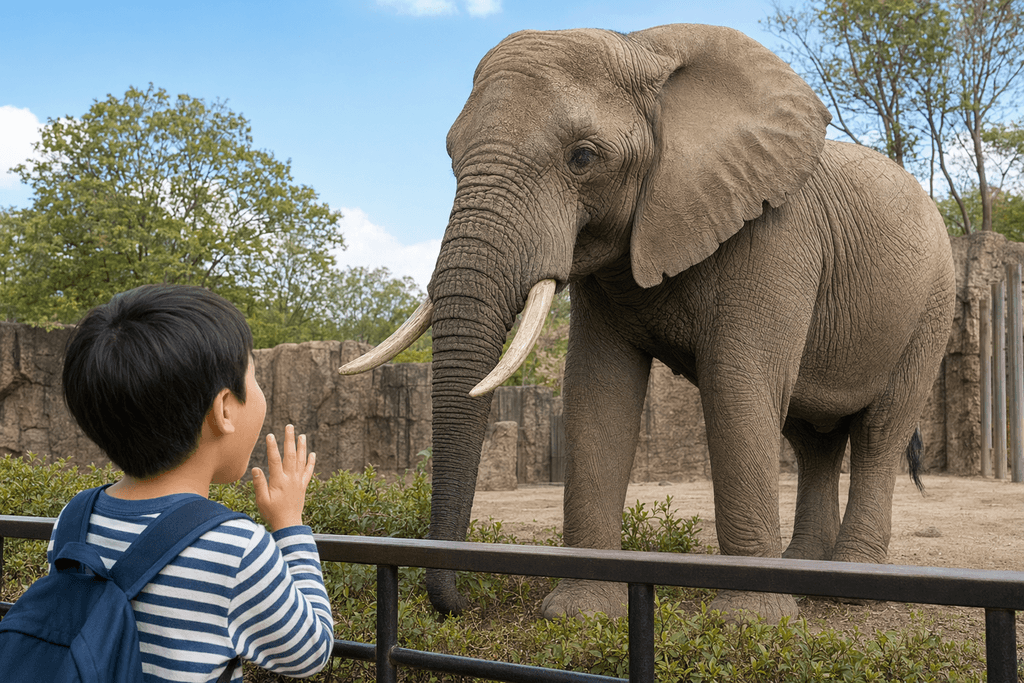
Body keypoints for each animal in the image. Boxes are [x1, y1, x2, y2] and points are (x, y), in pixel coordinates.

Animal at [341, 23, 956, 624]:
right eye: (450, 155)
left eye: (582, 158)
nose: (458, 603)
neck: (643, 48)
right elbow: (597, 392)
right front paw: (580, 615)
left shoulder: (775, 236)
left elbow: (737, 386)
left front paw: (749, 621)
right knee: (812, 441)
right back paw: (808, 572)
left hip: (933, 304)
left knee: (879, 432)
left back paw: (853, 592)